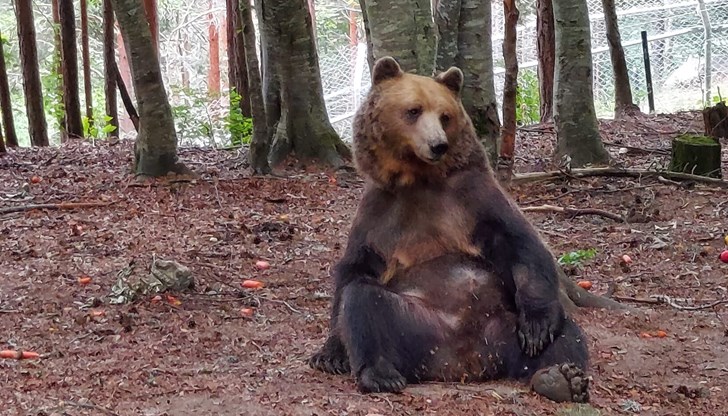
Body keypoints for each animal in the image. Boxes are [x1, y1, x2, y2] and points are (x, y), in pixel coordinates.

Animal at [308, 56, 592, 404]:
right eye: (413, 110)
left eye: (445, 115)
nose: (438, 145)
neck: (418, 179)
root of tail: (464, 361)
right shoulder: (379, 212)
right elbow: (356, 269)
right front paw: (330, 353)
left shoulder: (471, 196)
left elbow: (521, 243)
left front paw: (537, 328)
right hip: (416, 325)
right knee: (365, 301)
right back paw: (381, 374)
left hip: (501, 325)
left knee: (565, 334)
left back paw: (561, 377)